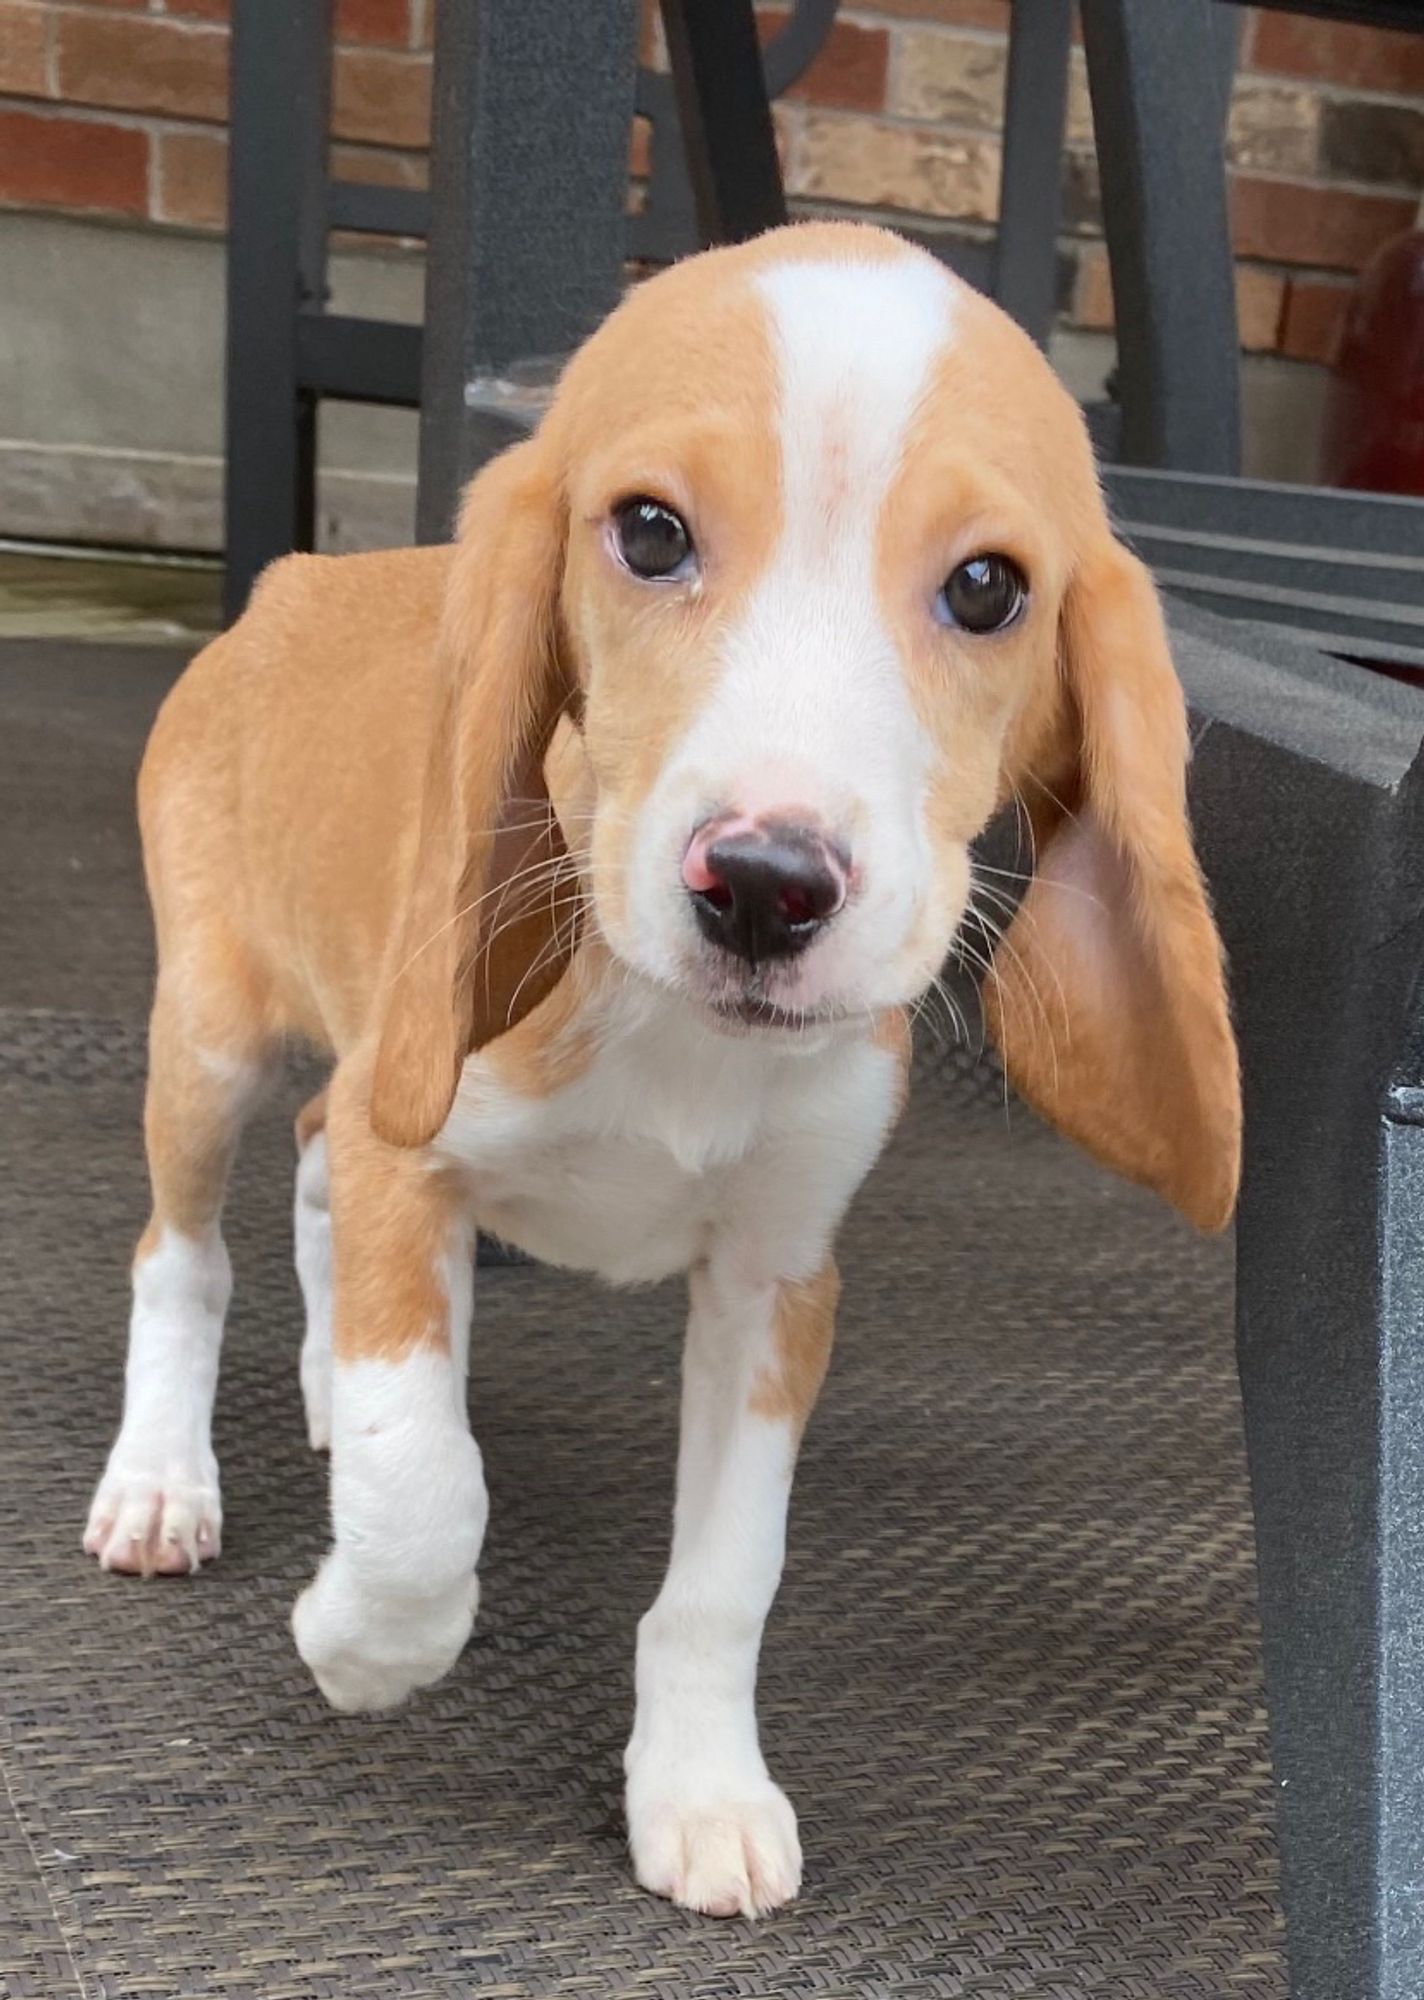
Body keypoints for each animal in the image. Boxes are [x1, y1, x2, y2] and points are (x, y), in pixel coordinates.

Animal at [86, 223, 1232, 1920]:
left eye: (986, 588)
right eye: (648, 532)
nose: (763, 885)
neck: (680, 1038)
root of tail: (298, 579)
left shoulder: (778, 1278)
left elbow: (723, 1578)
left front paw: (698, 1787)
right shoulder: (415, 1151)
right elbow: (428, 1491)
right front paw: (362, 1642)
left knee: (309, 1165)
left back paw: (318, 1386)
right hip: (208, 1033)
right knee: (184, 1254)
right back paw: (167, 1477)